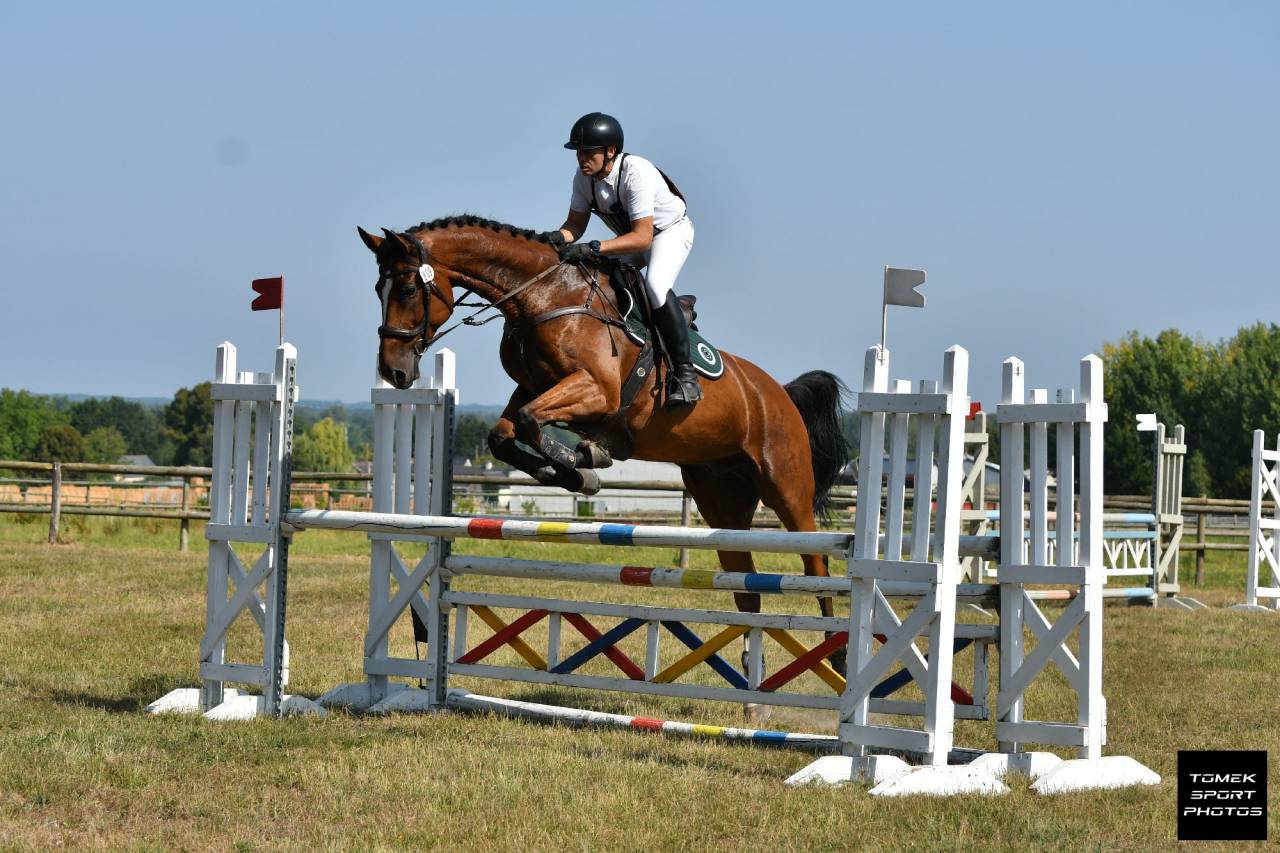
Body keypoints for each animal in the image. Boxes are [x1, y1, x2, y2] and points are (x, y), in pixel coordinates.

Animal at [359, 216, 850, 673]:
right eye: (378, 288)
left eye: (408, 287)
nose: (395, 372)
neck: (545, 298)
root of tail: (778, 392)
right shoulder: (534, 387)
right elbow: (504, 433)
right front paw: (567, 468)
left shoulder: (597, 390)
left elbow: (532, 421)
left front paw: (582, 460)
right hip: (720, 499)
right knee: (745, 583)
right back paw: (752, 673)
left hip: (785, 485)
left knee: (816, 564)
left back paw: (837, 655)